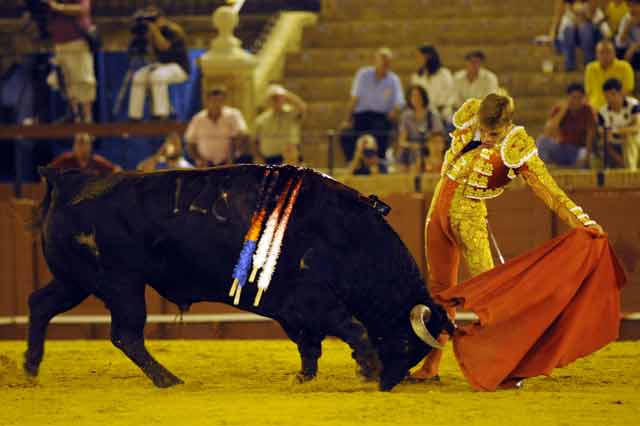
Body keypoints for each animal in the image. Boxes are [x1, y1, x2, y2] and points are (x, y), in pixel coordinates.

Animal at [26, 165, 456, 392]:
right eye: (406, 342)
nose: (388, 384)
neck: (349, 234)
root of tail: (70, 180)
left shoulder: (295, 311)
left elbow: (310, 344)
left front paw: (304, 378)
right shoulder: (312, 300)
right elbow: (351, 327)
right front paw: (366, 367)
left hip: (74, 281)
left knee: (40, 305)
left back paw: (31, 368)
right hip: (122, 284)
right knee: (126, 334)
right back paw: (169, 380)